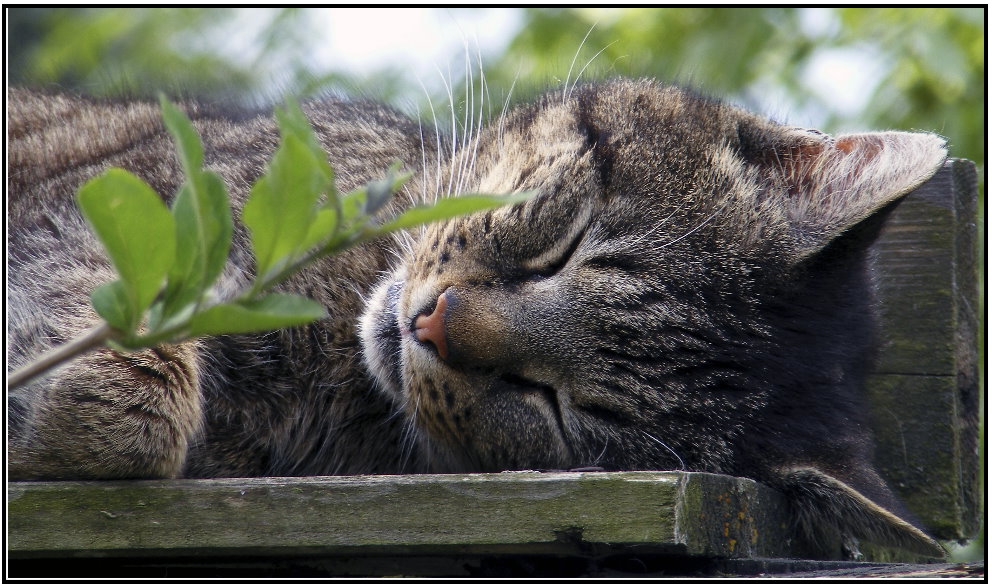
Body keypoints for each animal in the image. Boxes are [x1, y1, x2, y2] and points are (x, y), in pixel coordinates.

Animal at [5, 78, 944, 556]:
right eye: (567, 249)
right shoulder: (130, 207)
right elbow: (133, 370)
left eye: (558, 407)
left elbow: (137, 418)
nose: (432, 324)